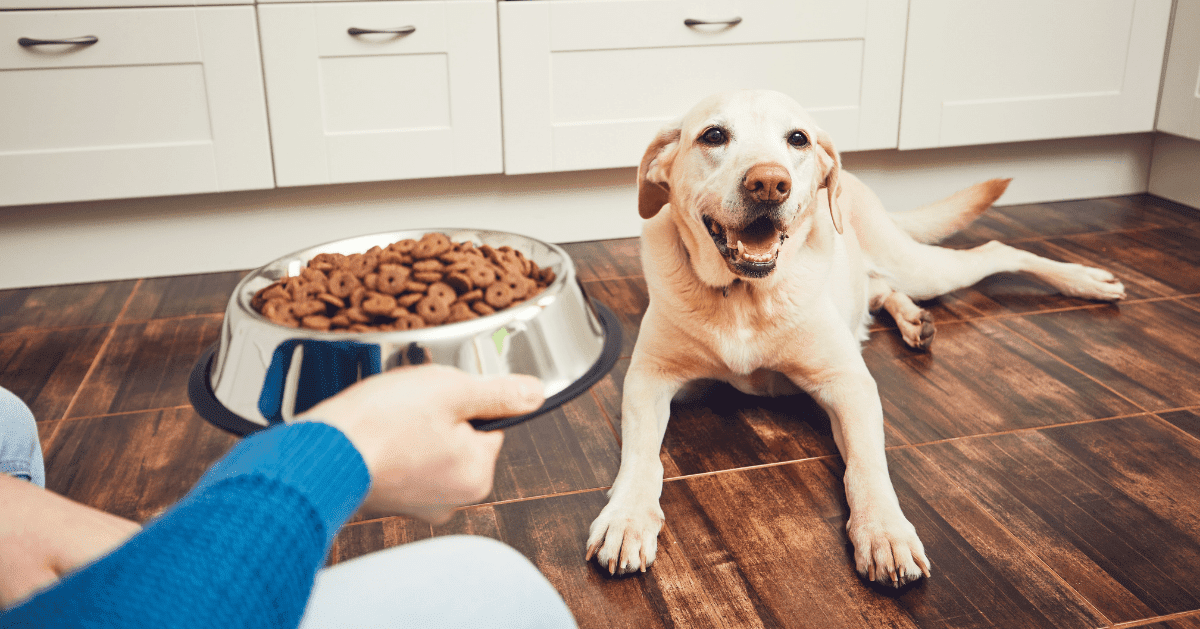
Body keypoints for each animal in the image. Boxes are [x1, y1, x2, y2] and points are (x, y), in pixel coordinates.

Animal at [585, 90, 1128, 588]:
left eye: (797, 139)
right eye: (713, 135)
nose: (770, 183)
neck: (744, 295)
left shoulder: (848, 384)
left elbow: (866, 465)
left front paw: (885, 532)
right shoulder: (649, 379)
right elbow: (641, 458)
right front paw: (626, 518)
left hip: (920, 266)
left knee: (995, 250)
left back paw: (1086, 281)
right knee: (882, 289)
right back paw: (914, 321)